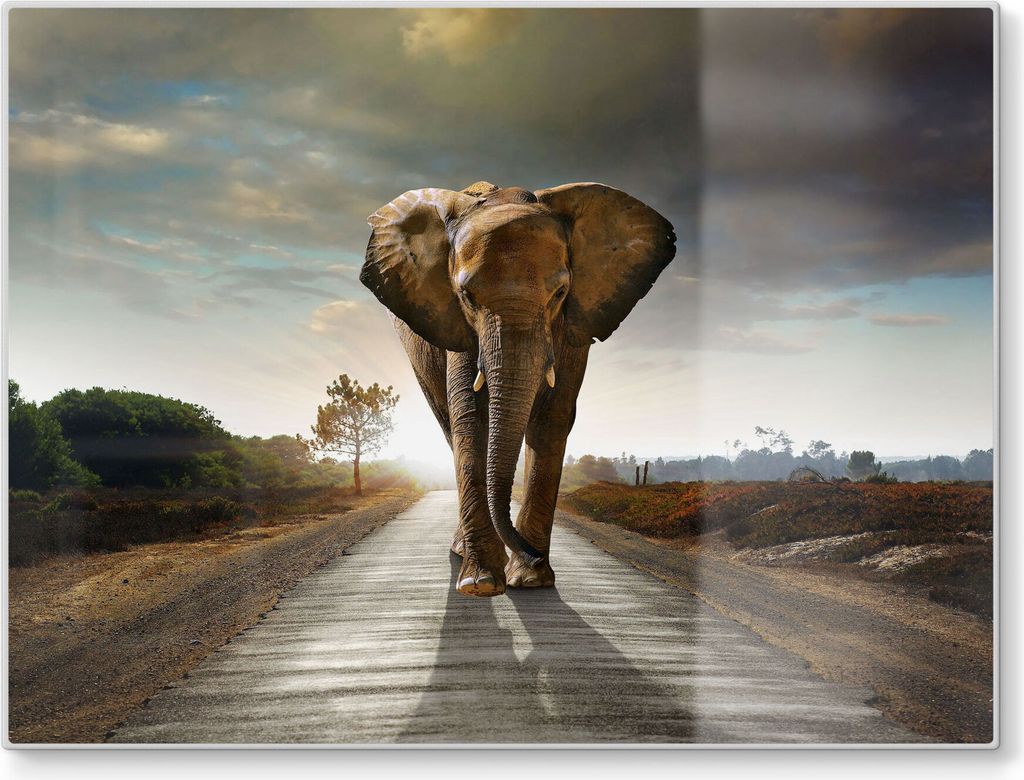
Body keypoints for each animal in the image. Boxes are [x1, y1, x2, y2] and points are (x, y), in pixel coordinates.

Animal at [360, 181, 675, 597]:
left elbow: (553, 419)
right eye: (466, 296)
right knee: (448, 425)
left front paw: (530, 580)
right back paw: (463, 553)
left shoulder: (573, 326)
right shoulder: (459, 328)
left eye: (560, 293)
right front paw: (481, 584)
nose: (533, 554)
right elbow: (471, 418)